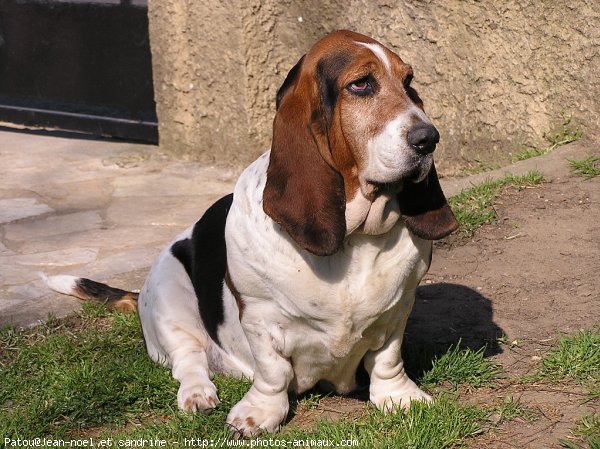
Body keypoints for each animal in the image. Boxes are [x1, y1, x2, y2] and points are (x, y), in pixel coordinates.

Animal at [45, 30, 460, 434]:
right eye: (361, 84)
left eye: (408, 82)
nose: (429, 138)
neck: (352, 238)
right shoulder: (260, 318)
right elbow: (272, 373)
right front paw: (259, 414)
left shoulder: (398, 310)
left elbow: (387, 359)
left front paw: (400, 397)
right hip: (169, 300)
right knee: (189, 361)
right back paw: (198, 395)